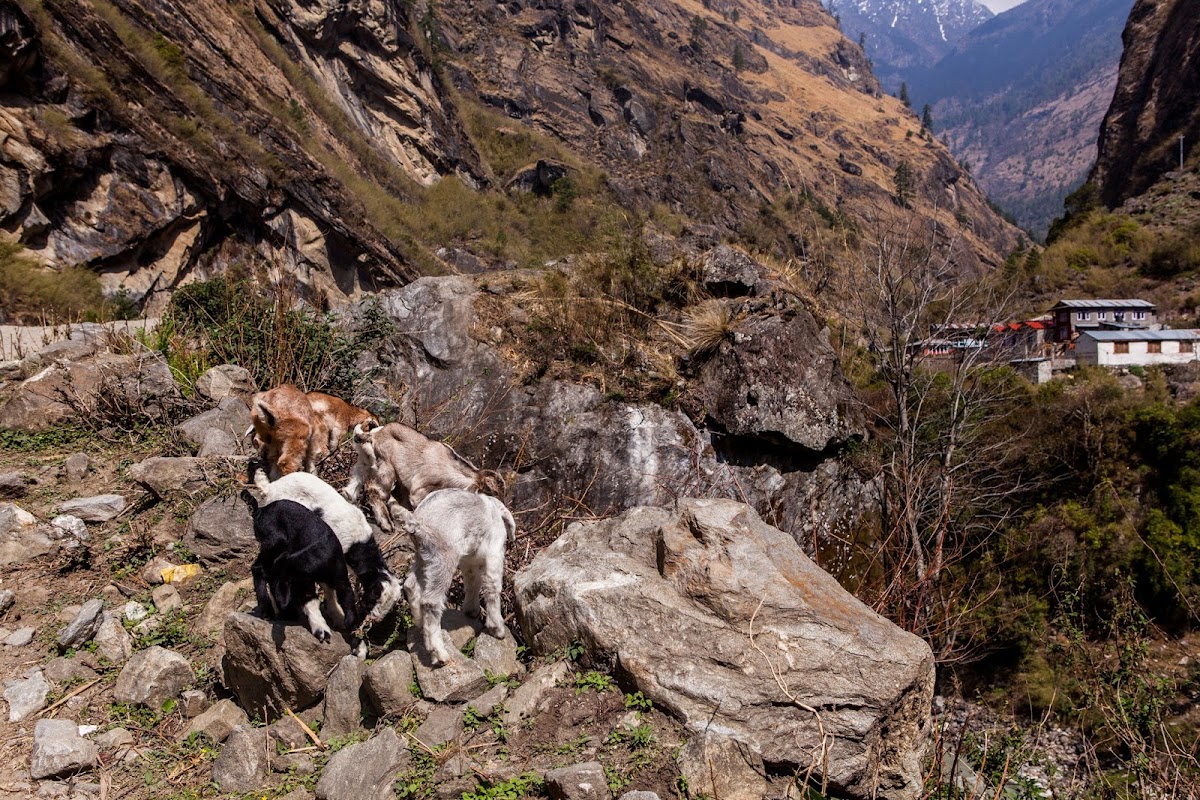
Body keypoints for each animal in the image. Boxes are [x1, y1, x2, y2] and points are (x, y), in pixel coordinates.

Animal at [240, 491, 352, 642]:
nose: (287, 614)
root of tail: (260, 511)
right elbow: (311, 600)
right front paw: (321, 629)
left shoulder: (339, 576)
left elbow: (334, 593)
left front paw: (340, 618)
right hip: (274, 542)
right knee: (257, 568)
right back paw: (267, 609)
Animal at [405, 489, 513, 671]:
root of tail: (416, 522)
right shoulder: (494, 552)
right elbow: (492, 586)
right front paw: (497, 628)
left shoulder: (469, 560)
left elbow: (472, 582)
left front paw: (471, 610)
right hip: (442, 557)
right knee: (431, 602)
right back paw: (439, 653)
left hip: (424, 557)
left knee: (411, 586)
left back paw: (420, 624)